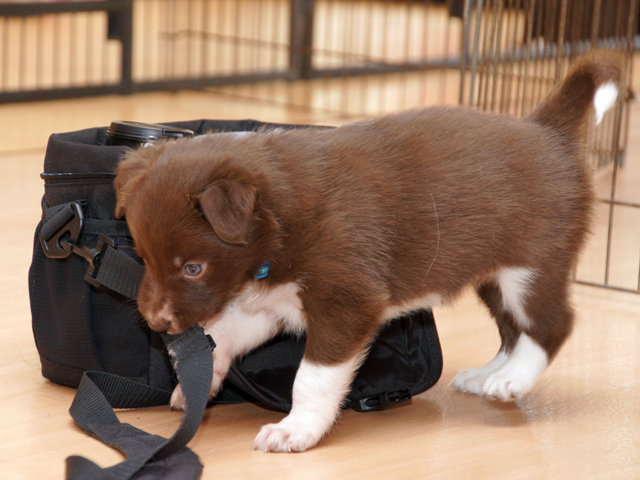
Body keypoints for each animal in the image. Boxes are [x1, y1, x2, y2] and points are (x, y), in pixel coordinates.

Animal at [115, 51, 623, 453]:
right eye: (143, 256)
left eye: (193, 268)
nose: (156, 323)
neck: (281, 218)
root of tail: (548, 131)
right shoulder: (272, 301)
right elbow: (226, 332)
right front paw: (200, 380)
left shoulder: (346, 300)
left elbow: (312, 378)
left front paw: (295, 430)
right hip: (494, 275)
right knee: (512, 328)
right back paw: (487, 376)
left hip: (532, 264)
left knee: (552, 323)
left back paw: (512, 378)